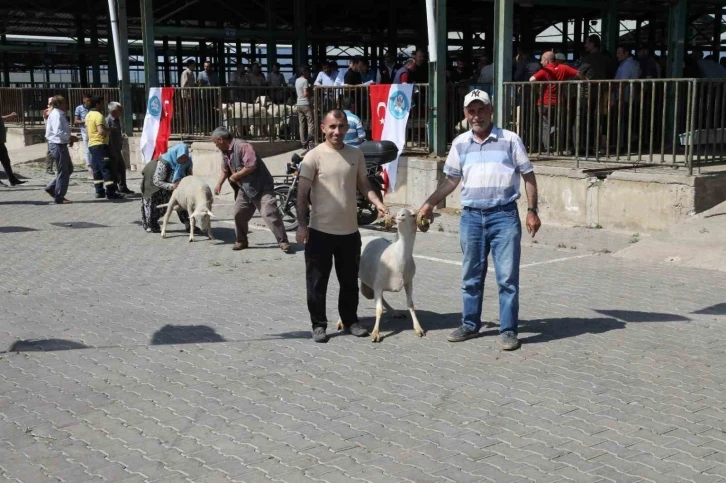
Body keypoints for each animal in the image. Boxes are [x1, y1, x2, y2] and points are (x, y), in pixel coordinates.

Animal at [336, 210, 426, 342]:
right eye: (399, 212)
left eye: (413, 215)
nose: (400, 216)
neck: (398, 256)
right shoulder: (378, 286)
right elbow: (378, 311)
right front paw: (375, 334)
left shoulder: (408, 283)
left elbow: (411, 305)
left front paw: (418, 328)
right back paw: (340, 322)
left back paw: (395, 312)